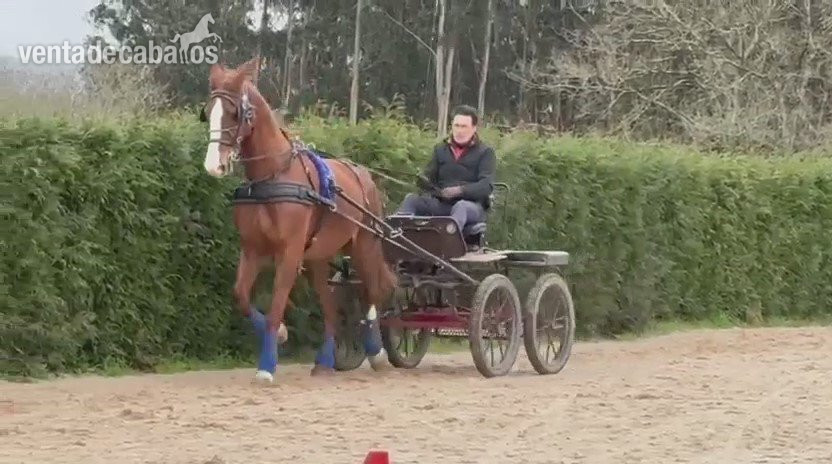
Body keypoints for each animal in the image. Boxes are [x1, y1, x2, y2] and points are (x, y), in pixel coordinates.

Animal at [202, 57, 398, 383]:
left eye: (234, 112)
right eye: (208, 112)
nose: (213, 165)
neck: (274, 175)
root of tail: (363, 174)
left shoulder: (290, 252)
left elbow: (277, 304)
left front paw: (267, 366)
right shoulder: (253, 249)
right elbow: (241, 295)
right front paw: (280, 334)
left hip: (364, 245)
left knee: (373, 291)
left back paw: (376, 351)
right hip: (318, 258)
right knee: (331, 307)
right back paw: (325, 360)